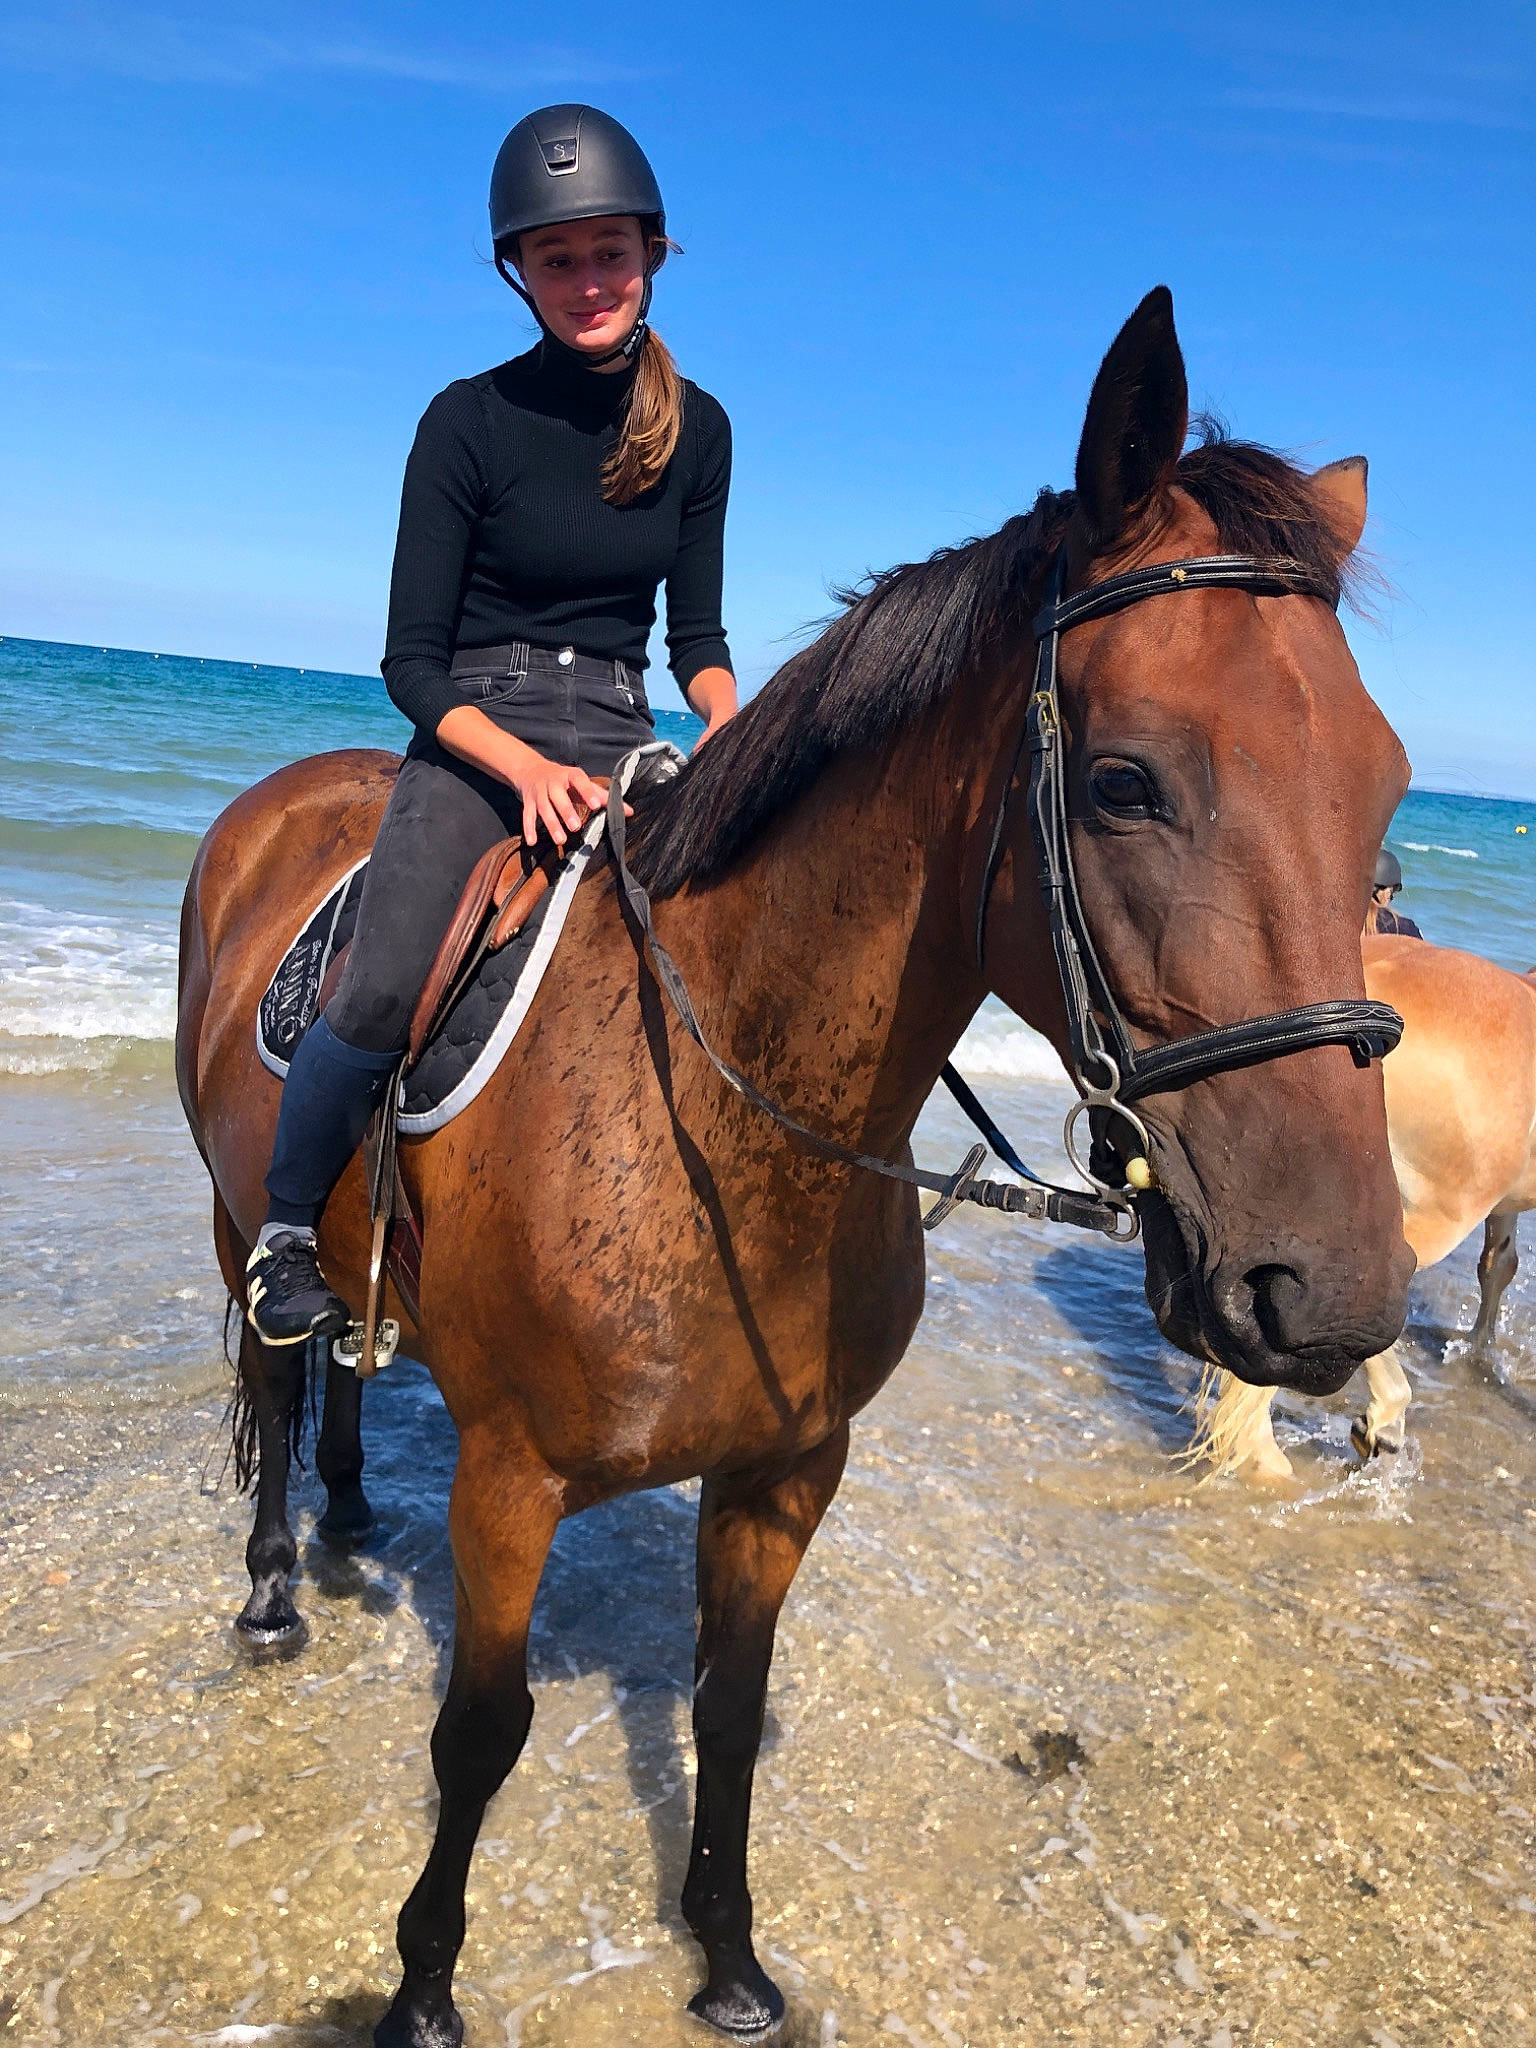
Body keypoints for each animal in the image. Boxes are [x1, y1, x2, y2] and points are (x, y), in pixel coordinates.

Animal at [176, 286, 1414, 2047]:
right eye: (1127, 783)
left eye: (1385, 796)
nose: (1334, 1298)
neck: (717, 1118)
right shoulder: (509, 1487)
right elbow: (477, 1740)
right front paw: (420, 1987)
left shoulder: (785, 1473)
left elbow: (731, 1712)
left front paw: (732, 1962)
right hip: (239, 1221)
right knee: (282, 1372)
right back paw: (278, 1582)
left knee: (349, 1357)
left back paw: (349, 1518)